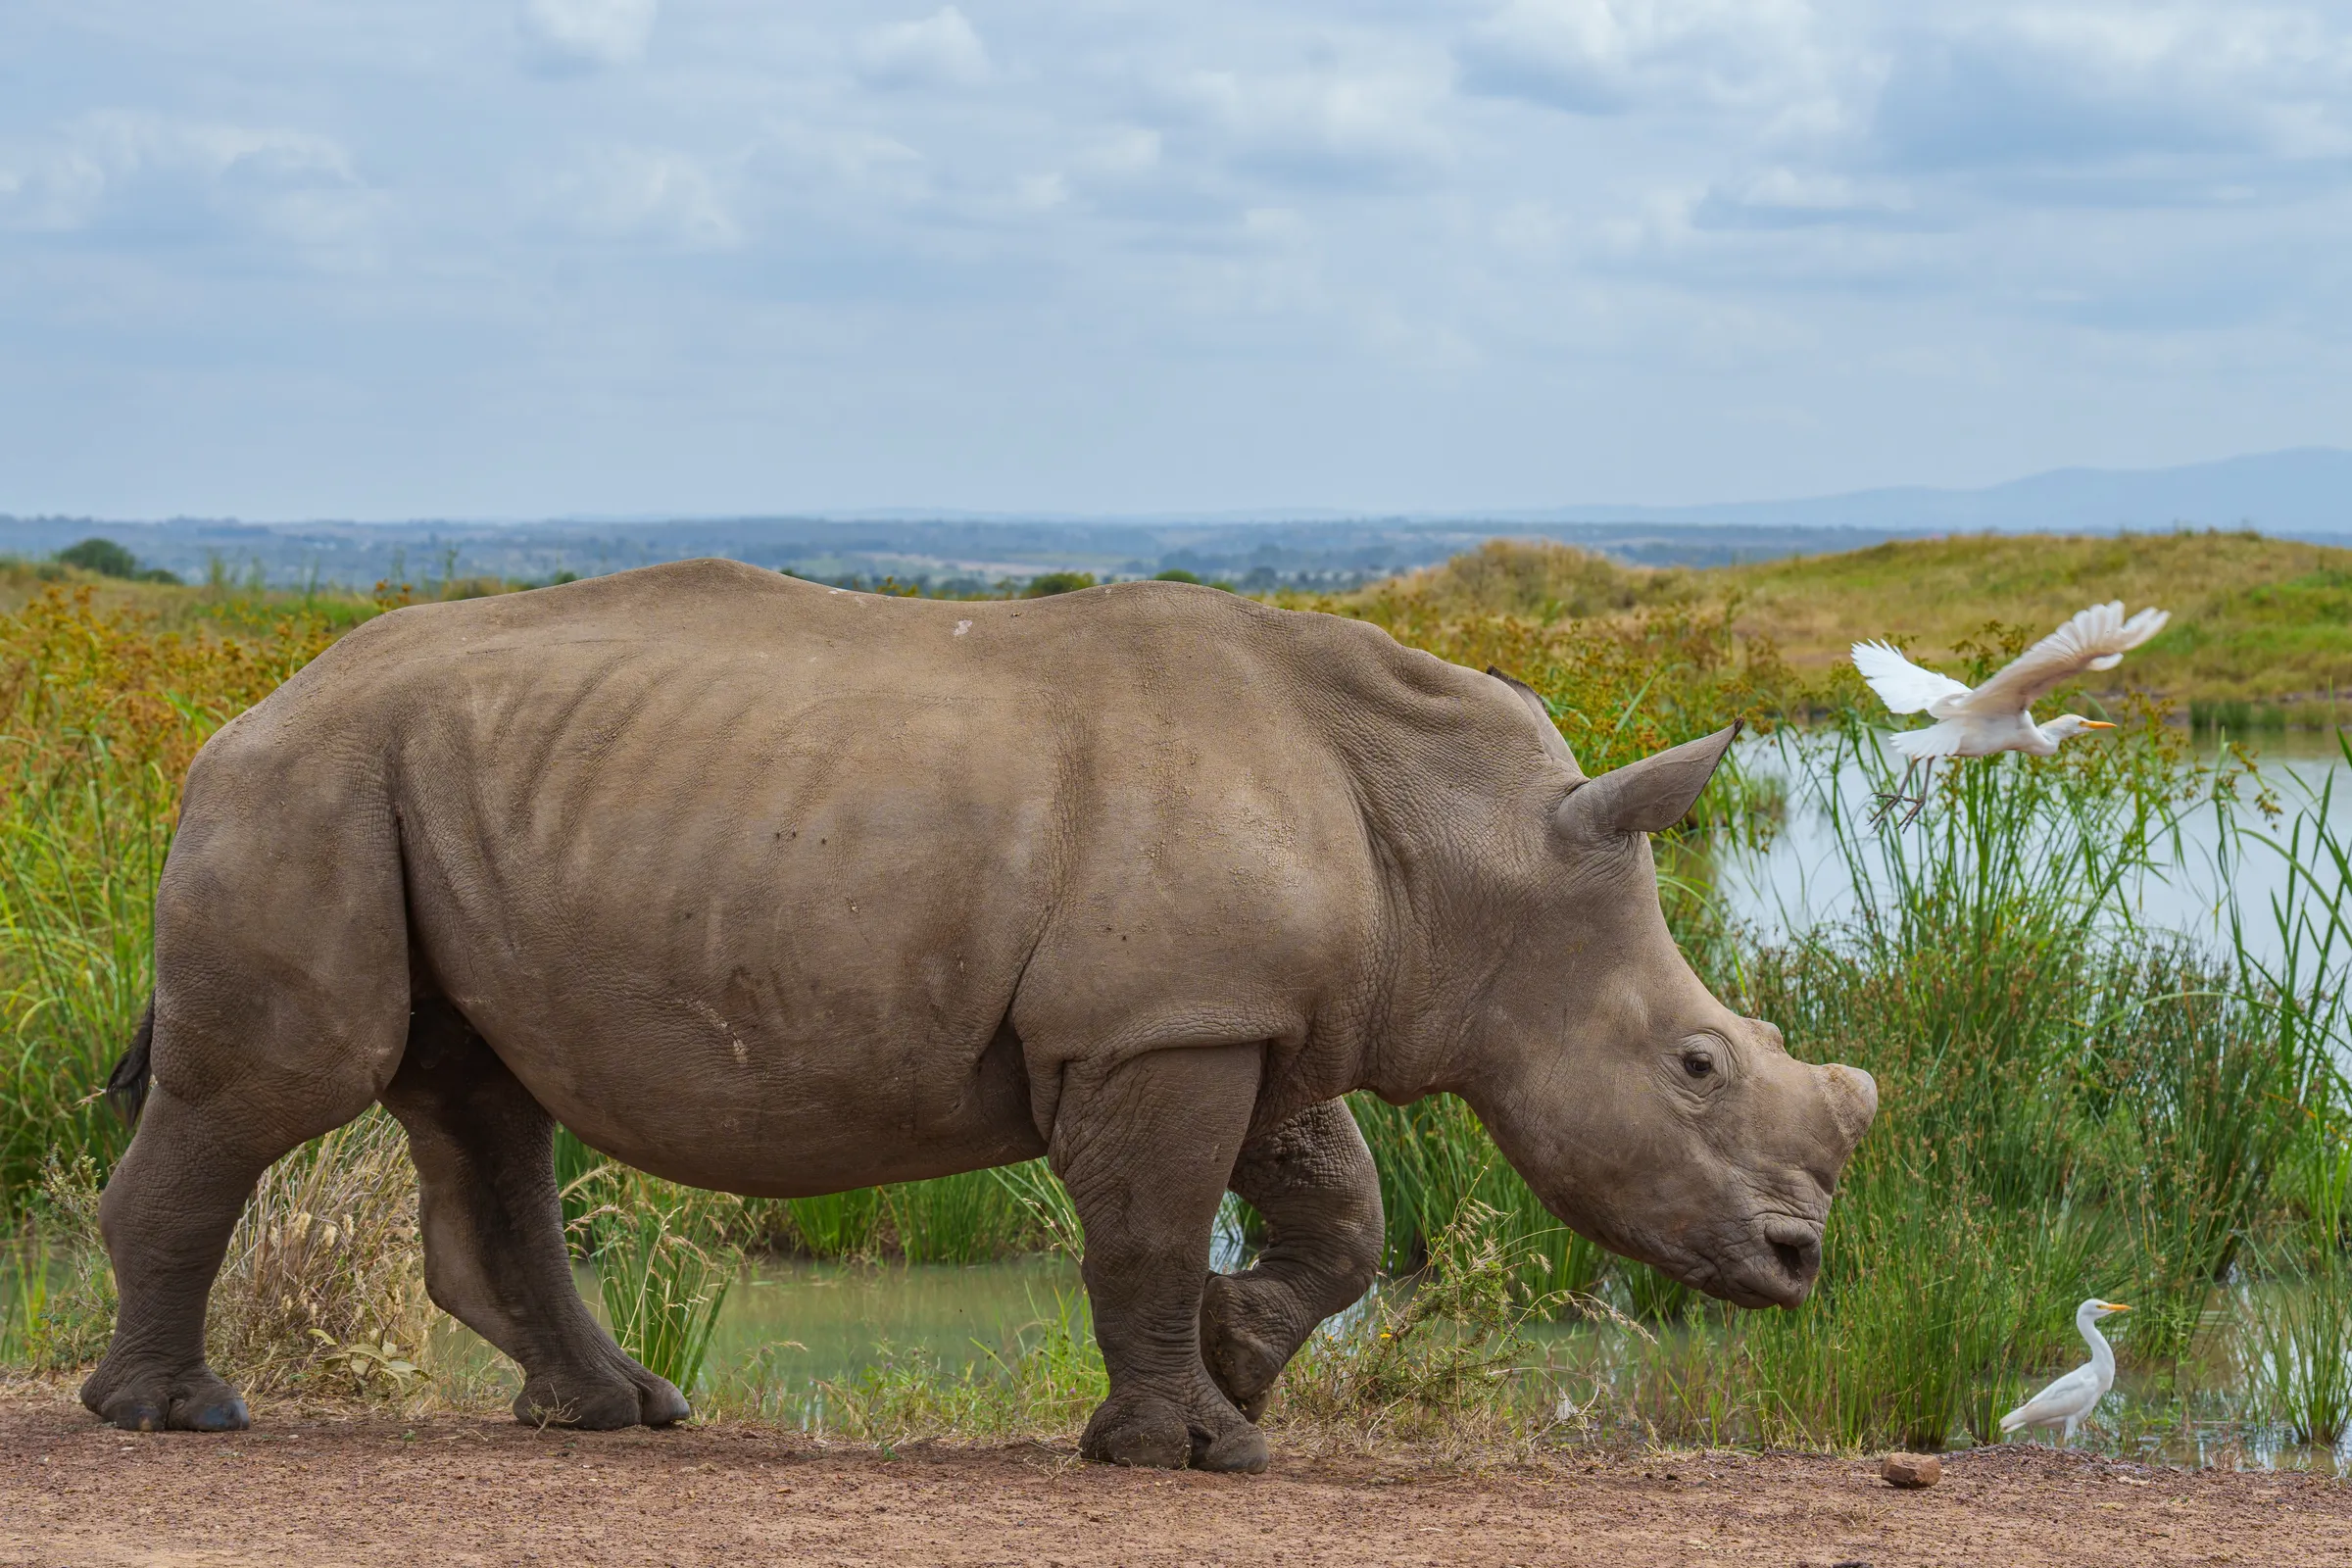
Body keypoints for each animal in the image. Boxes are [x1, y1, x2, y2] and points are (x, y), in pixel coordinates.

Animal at [82, 561, 1876, 1471]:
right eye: (1697, 1066)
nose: (1799, 1267)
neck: (1472, 855)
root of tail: (255, 706)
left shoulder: (1232, 1010)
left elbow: (1339, 1211)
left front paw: (1238, 1362)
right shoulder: (1163, 1023)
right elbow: (1149, 1227)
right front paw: (1190, 1448)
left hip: (436, 792)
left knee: (479, 1098)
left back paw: (618, 1415)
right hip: (305, 790)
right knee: (290, 1084)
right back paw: (181, 1419)